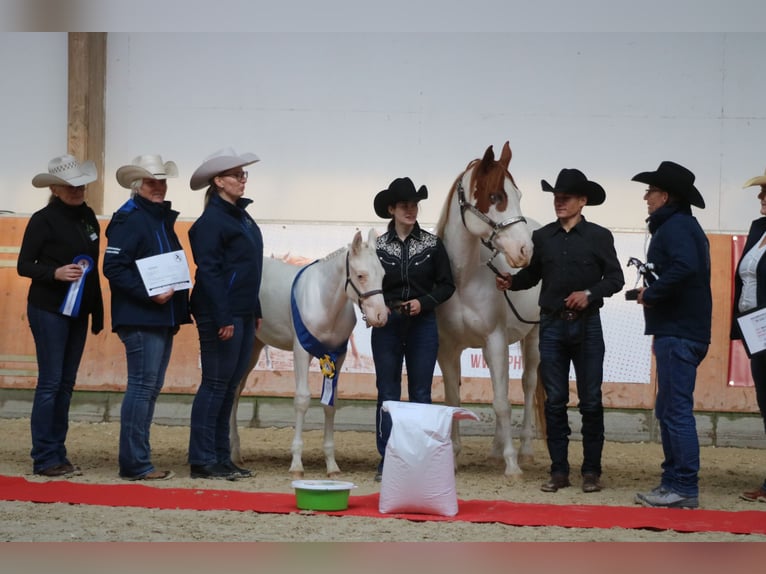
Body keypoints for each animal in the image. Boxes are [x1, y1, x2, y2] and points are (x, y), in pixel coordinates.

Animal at [226, 228, 384, 476]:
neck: (324, 301)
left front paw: (332, 465)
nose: (381, 316)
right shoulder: (301, 351)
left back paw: (235, 453)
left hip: (253, 348)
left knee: (235, 392)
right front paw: (297, 464)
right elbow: (302, 399)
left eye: (383, 275)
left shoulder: (338, 357)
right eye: (360, 275)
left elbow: (330, 404)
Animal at [436, 142, 544, 480]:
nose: (525, 251)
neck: (463, 279)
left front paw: (512, 465)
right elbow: (453, 401)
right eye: (496, 196)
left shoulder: (496, 340)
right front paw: (453, 457)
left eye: (518, 194)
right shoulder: (448, 348)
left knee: (526, 385)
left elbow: (501, 403)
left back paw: (523, 451)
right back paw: (495, 451)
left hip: (533, 336)